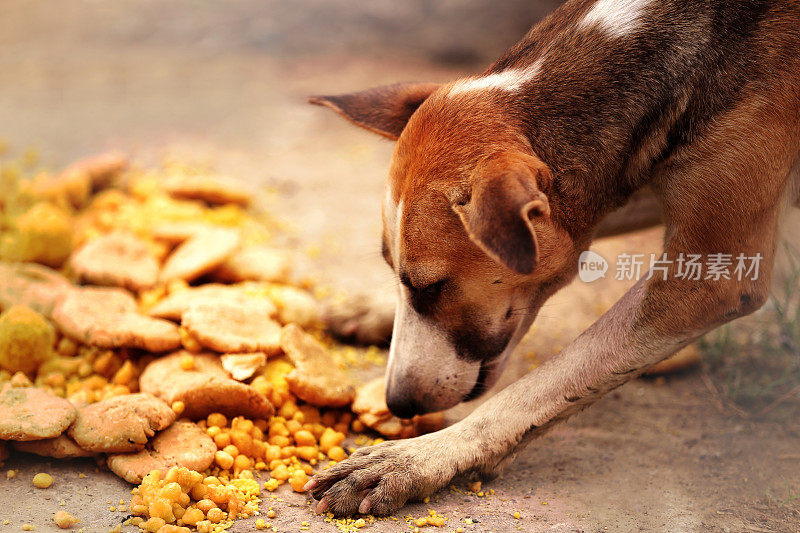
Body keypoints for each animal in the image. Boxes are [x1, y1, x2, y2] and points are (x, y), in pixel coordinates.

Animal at [304, 0, 800, 516]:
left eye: (432, 287)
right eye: (396, 274)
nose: (397, 404)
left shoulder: (708, 277)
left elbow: (540, 385)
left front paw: (419, 457)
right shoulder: (626, 186)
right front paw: (374, 310)